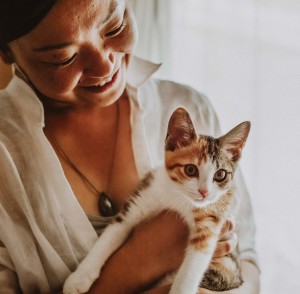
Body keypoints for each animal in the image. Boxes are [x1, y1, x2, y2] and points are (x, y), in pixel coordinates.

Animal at [63, 108, 251, 294]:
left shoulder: (211, 218)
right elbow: (110, 235)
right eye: (190, 170)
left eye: (220, 175)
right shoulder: (143, 195)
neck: (179, 196)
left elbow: (193, 265)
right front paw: (79, 277)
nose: (204, 192)